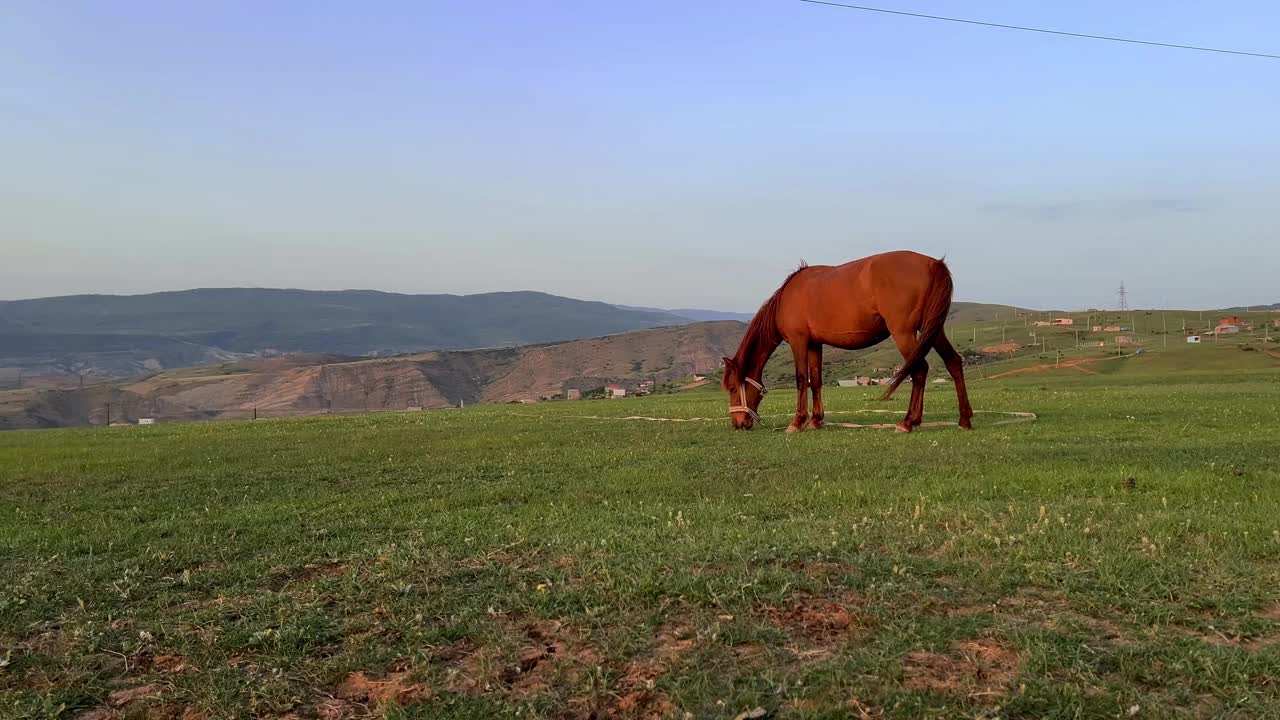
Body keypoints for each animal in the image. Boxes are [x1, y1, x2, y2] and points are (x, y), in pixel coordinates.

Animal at [721, 251, 967, 430]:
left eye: (732, 388)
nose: (738, 423)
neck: (786, 298)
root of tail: (933, 264)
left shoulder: (799, 341)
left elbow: (801, 379)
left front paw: (797, 422)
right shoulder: (814, 344)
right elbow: (815, 381)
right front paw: (816, 420)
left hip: (904, 333)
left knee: (919, 370)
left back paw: (908, 422)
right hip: (933, 330)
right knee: (953, 362)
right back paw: (964, 420)